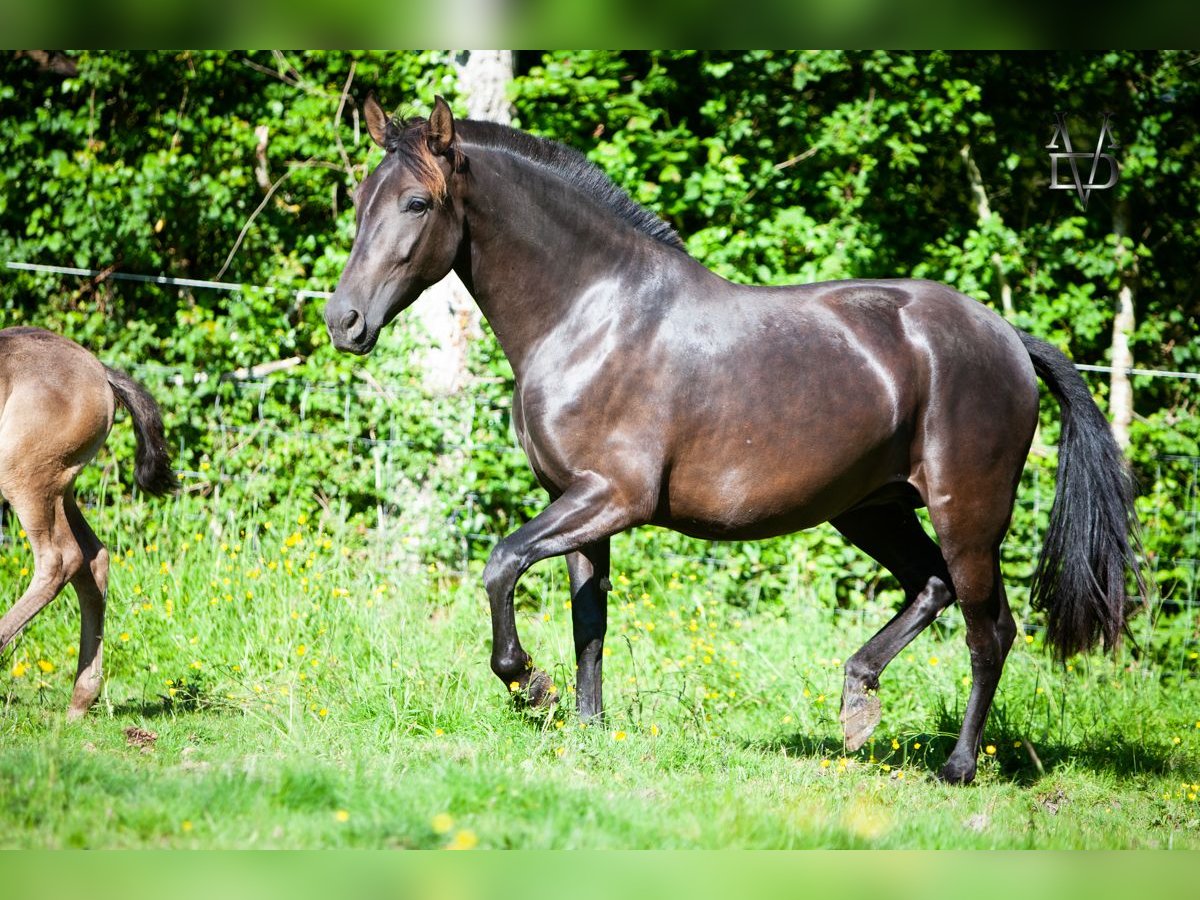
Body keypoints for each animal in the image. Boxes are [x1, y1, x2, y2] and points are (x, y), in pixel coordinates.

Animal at [0, 328, 176, 720]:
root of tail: (99, 371)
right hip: (60, 486)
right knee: (94, 558)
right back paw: (81, 699)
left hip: (26, 474)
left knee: (60, 558)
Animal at [326, 97, 1142, 782]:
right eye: (361, 200)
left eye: (416, 202)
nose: (344, 321)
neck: (591, 315)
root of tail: (1007, 338)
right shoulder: (579, 504)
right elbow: (589, 619)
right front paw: (587, 728)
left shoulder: (612, 497)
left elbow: (501, 565)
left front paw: (529, 683)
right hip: (871, 509)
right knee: (930, 587)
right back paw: (857, 704)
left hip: (967, 513)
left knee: (990, 630)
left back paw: (957, 766)